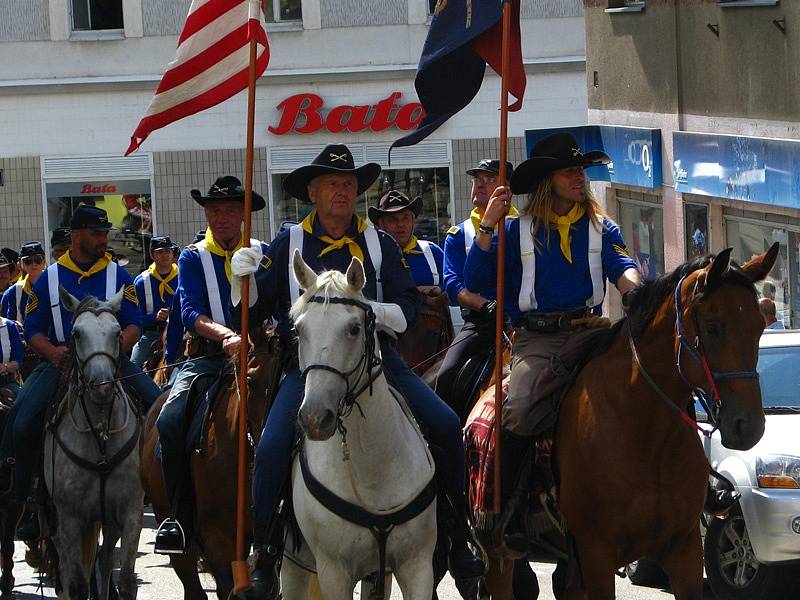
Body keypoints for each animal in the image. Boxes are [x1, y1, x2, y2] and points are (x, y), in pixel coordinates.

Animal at [43, 288, 145, 600]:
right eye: (76, 333)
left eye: (117, 332)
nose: (101, 387)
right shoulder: (70, 519)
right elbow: (76, 584)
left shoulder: (130, 512)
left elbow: (126, 580)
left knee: (105, 559)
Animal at [284, 253, 438, 600]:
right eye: (299, 330)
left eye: (354, 329)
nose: (315, 418)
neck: (373, 466)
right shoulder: (333, 573)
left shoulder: (417, 566)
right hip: (295, 562)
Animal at [468, 245, 776, 600]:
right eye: (713, 327)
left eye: (759, 326)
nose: (748, 426)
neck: (646, 434)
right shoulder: (597, 555)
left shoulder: (684, 551)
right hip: (499, 552)